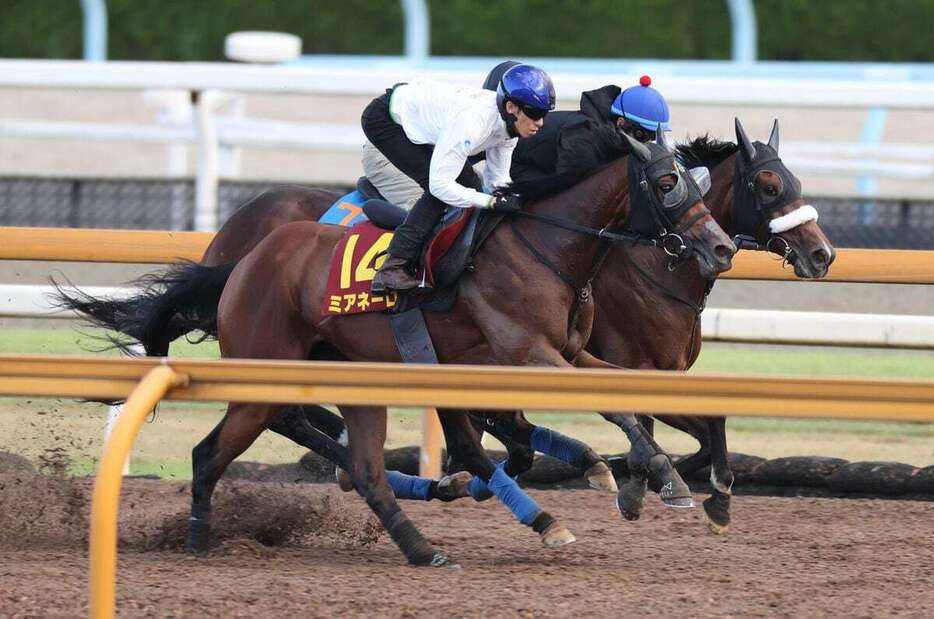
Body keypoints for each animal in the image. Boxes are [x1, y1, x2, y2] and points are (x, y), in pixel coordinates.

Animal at [64, 140, 740, 568]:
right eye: (667, 182)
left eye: (694, 179)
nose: (722, 247)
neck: (544, 245)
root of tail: (241, 262)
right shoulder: (527, 353)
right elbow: (612, 411)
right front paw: (660, 477)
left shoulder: (569, 354)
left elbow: (619, 400)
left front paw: (655, 475)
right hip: (265, 376)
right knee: (226, 448)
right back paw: (200, 539)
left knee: (365, 458)